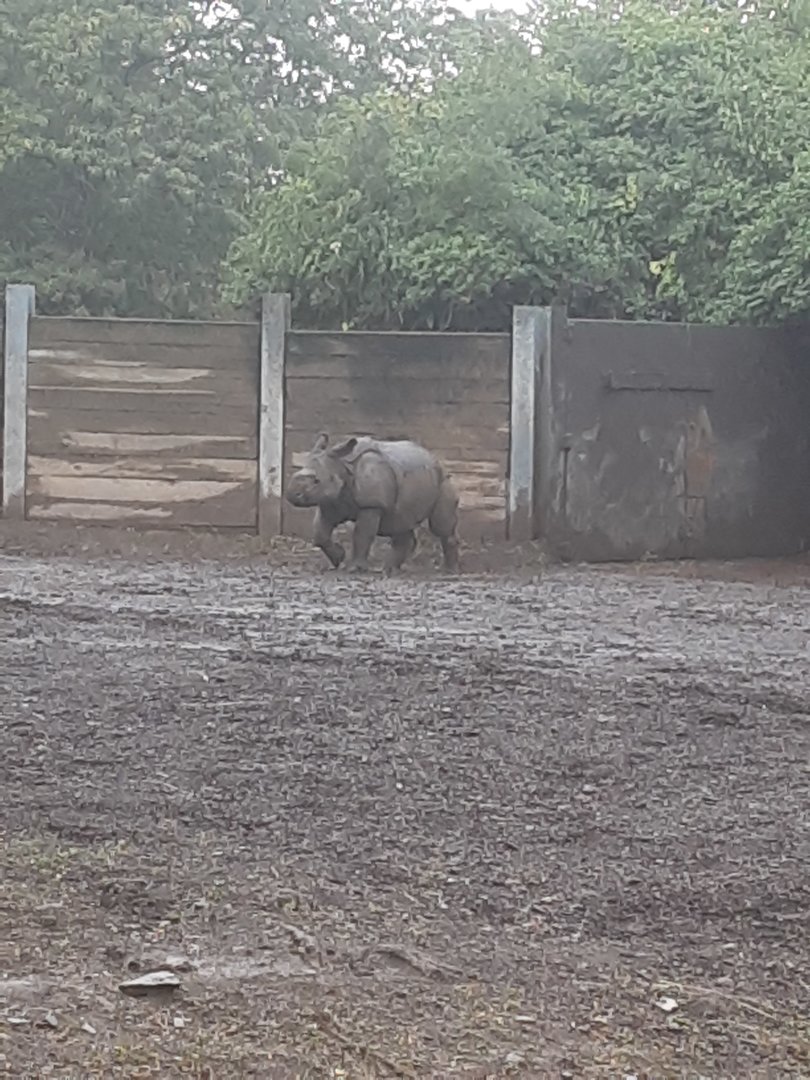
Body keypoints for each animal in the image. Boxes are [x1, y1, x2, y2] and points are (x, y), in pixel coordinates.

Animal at [285, 433, 460, 573]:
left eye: (317, 481)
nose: (292, 495)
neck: (341, 465)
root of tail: (434, 457)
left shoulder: (372, 505)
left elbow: (362, 535)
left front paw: (355, 568)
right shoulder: (331, 502)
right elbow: (319, 534)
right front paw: (338, 558)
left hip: (442, 480)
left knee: (439, 526)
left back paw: (449, 570)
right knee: (399, 523)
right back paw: (390, 569)